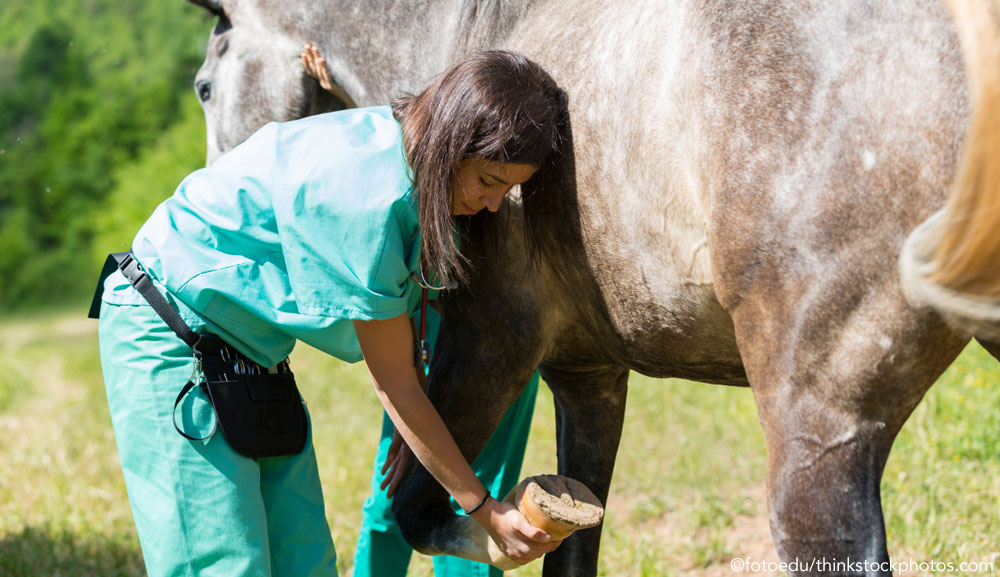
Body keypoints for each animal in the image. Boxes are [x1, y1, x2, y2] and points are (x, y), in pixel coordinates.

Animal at [188, 0, 1000, 572]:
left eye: (201, 87)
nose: (210, 189)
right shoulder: (589, 378)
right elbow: (575, 542)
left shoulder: (488, 345)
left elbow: (416, 505)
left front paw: (503, 531)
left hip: (819, 429)